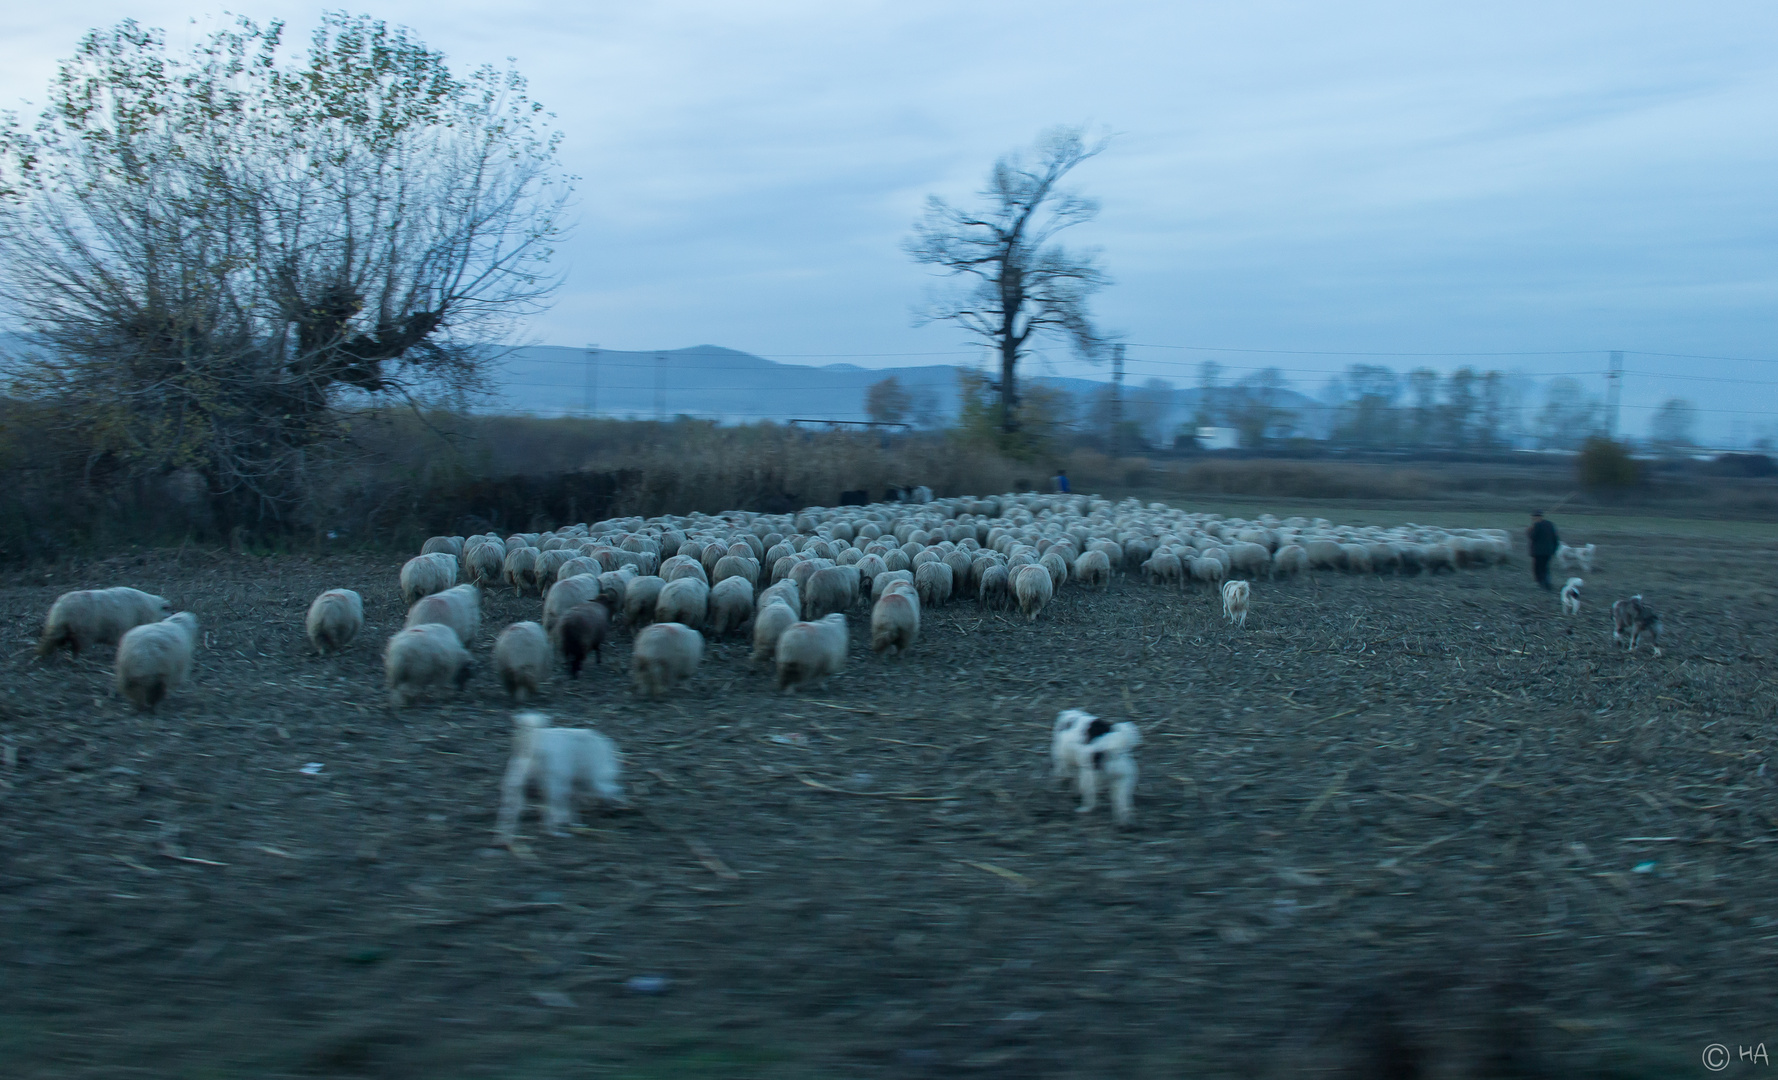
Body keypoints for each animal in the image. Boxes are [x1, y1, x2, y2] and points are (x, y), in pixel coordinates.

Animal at [38, 583, 172, 658]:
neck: (154, 607)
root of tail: (60, 608)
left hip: (60, 630)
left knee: (52, 641)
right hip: (82, 632)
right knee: (76, 647)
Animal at [490, 715, 629, 839]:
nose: (613, 813)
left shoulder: (574, 785)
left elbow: (573, 805)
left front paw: (576, 822)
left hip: (516, 784)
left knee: (509, 810)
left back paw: (503, 836)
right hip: (556, 785)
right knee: (552, 811)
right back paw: (557, 833)